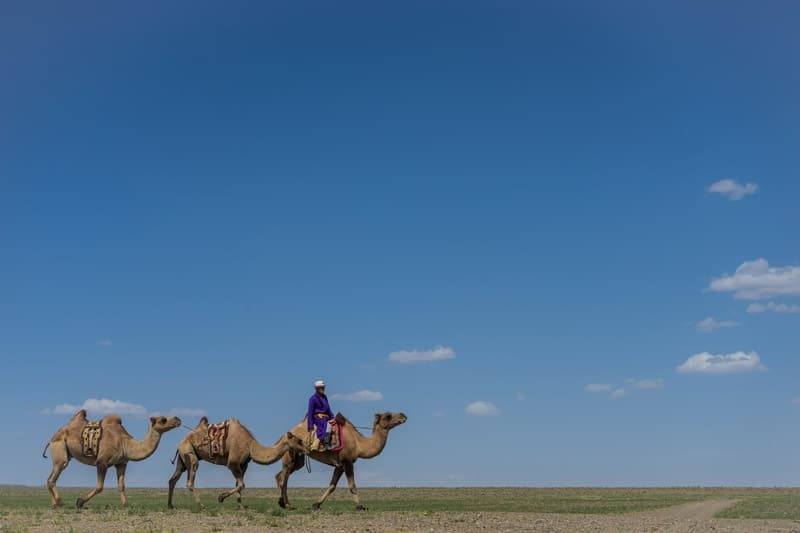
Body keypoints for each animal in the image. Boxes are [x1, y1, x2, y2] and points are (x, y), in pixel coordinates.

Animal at [44, 410, 182, 510]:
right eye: (163, 419)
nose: (178, 419)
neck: (125, 443)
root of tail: (52, 437)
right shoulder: (102, 462)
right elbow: (100, 487)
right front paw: (80, 502)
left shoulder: (121, 463)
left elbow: (121, 485)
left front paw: (125, 505)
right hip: (60, 448)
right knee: (54, 475)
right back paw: (60, 502)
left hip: (65, 453)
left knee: (50, 478)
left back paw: (54, 504)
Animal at [167, 416, 304, 508]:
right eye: (298, 441)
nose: (305, 449)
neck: (250, 445)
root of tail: (181, 442)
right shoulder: (232, 463)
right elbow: (241, 484)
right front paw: (221, 498)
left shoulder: (243, 464)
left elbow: (239, 484)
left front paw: (240, 506)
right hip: (189, 453)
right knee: (190, 480)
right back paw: (201, 505)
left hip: (182, 460)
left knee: (173, 479)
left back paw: (170, 505)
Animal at [278, 410, 410, 510]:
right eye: (388, 415)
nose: (403, 415)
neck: (359, 444)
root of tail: (288, 432)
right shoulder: (347, 461)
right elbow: (352, 485)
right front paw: (360, 506)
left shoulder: (339, 465)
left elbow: (332, 485)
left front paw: (316, 504)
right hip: (290, 454)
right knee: (283, 477)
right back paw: (285, 504)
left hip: (298, 458)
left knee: (282, 475)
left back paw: (283, 503)